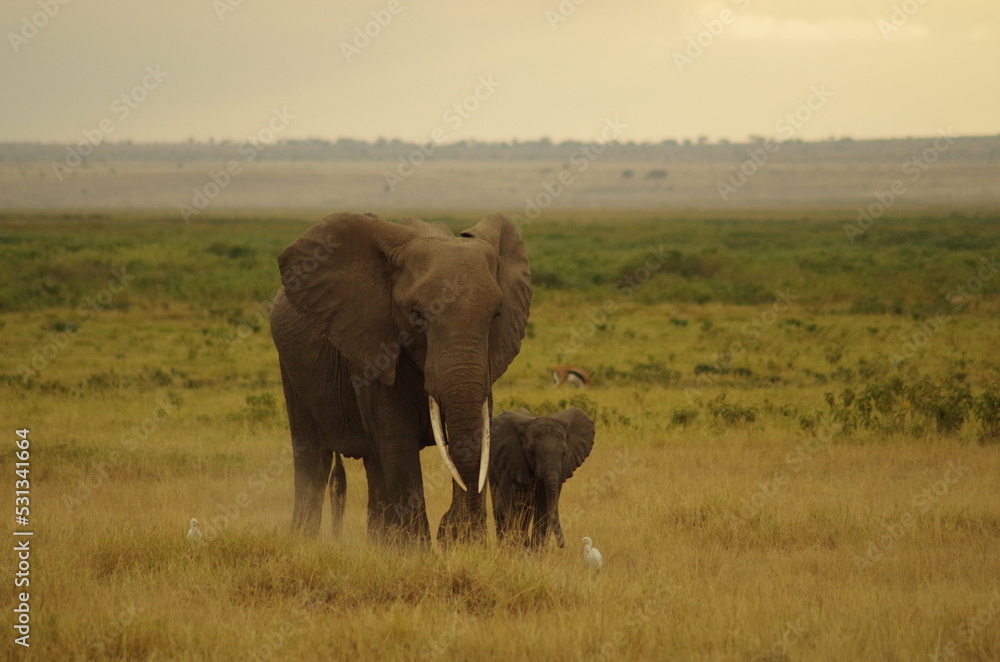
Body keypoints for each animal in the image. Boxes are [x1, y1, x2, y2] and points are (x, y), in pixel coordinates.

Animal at [270, 212, 531, 545]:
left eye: (496, 315)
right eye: (417, 314)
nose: (450, 526)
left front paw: (462, 544)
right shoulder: (371, 344)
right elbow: (398, 442)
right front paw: (420, 551)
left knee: (373, 464)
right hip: (291, 367)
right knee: (313, 457)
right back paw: (304, 541)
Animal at [489, 407, 595, 548]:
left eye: (564, 453)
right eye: (531, 452)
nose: (562, 544)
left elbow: (544, 507)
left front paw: (535, 549)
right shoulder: (510, 463)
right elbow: (511, 506)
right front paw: (520, 546)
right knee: (500, 507)